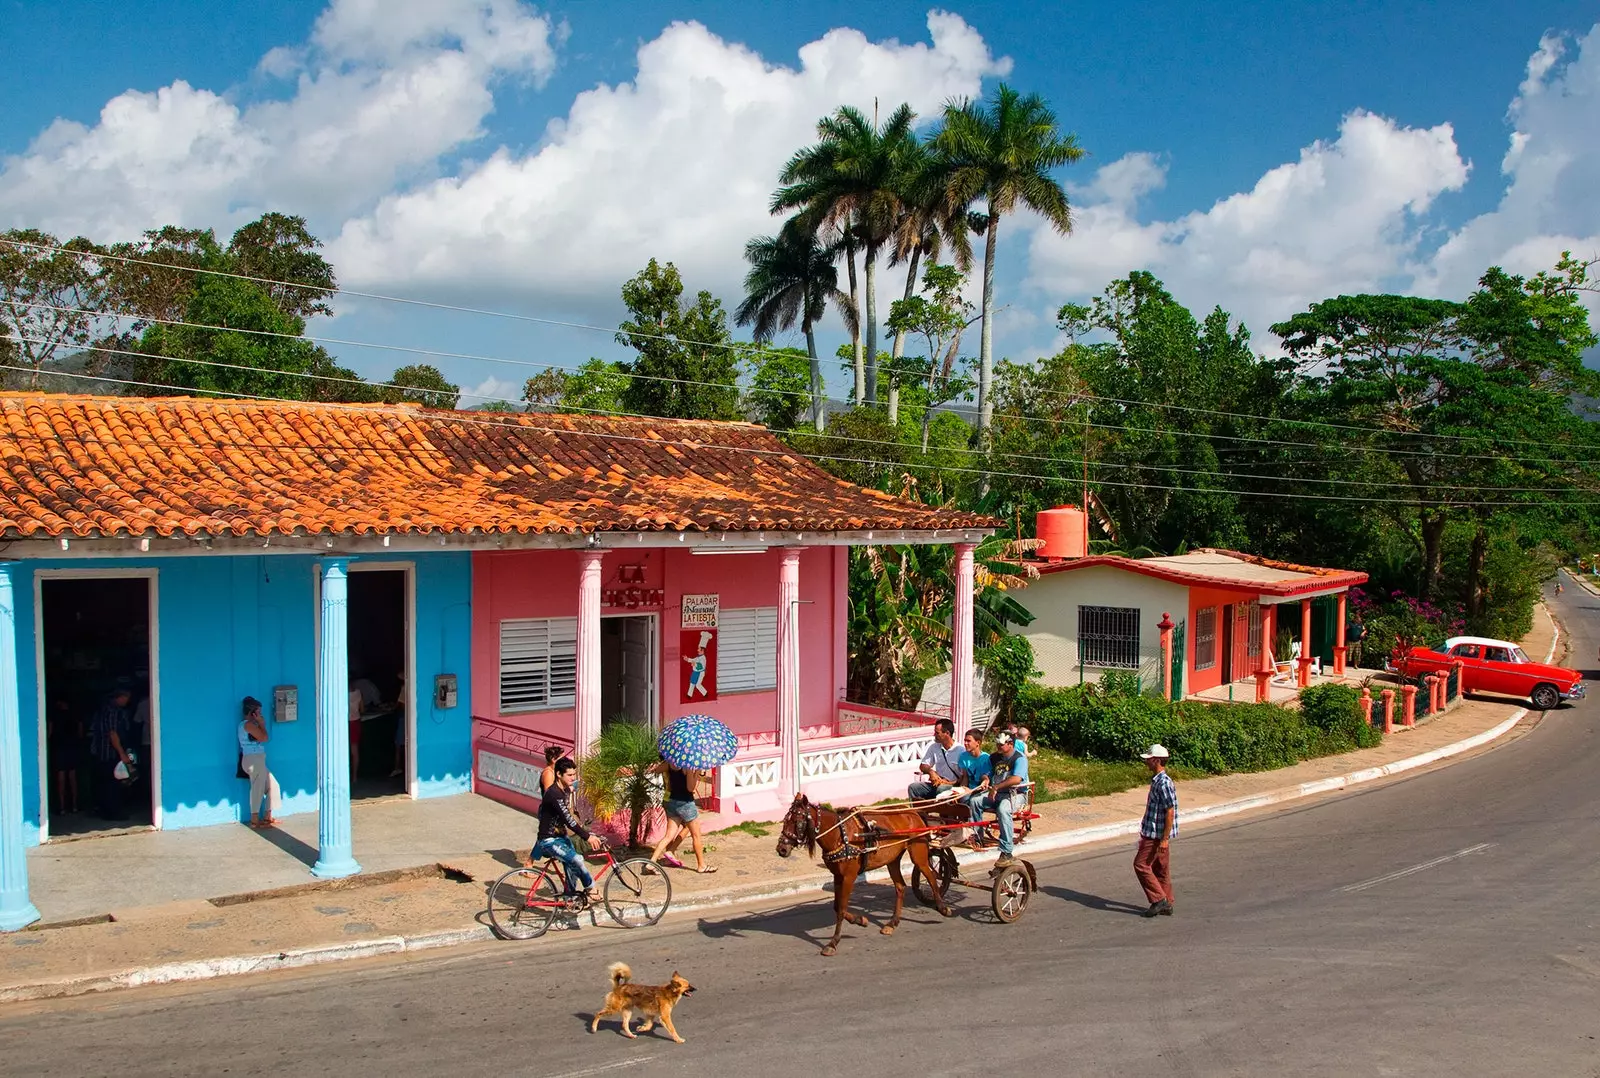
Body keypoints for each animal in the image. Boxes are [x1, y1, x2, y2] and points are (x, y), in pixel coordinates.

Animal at [774, 783, 947, 953]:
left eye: (797, 821)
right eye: (785, 820)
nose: (781, 849)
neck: (839, 835)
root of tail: (913, 812)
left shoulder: (849, 877)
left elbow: (842, 908)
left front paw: (833, 942)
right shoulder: (838, 875)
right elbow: (837, 906)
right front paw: (860, 920)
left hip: (918, 854)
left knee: (931, 876)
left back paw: (942, 907)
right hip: (892, 859)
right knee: (900, 887)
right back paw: (892, 923)